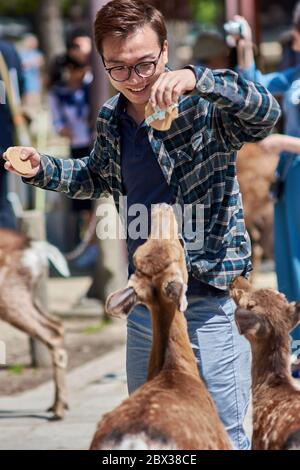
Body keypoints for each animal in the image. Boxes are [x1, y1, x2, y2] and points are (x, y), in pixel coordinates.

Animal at [0, 228, 68, 418]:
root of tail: (38, 247)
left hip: (10, 295)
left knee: (51, 332)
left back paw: (59, 410)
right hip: (27, 295)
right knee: (57, 326)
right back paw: (56, 405)